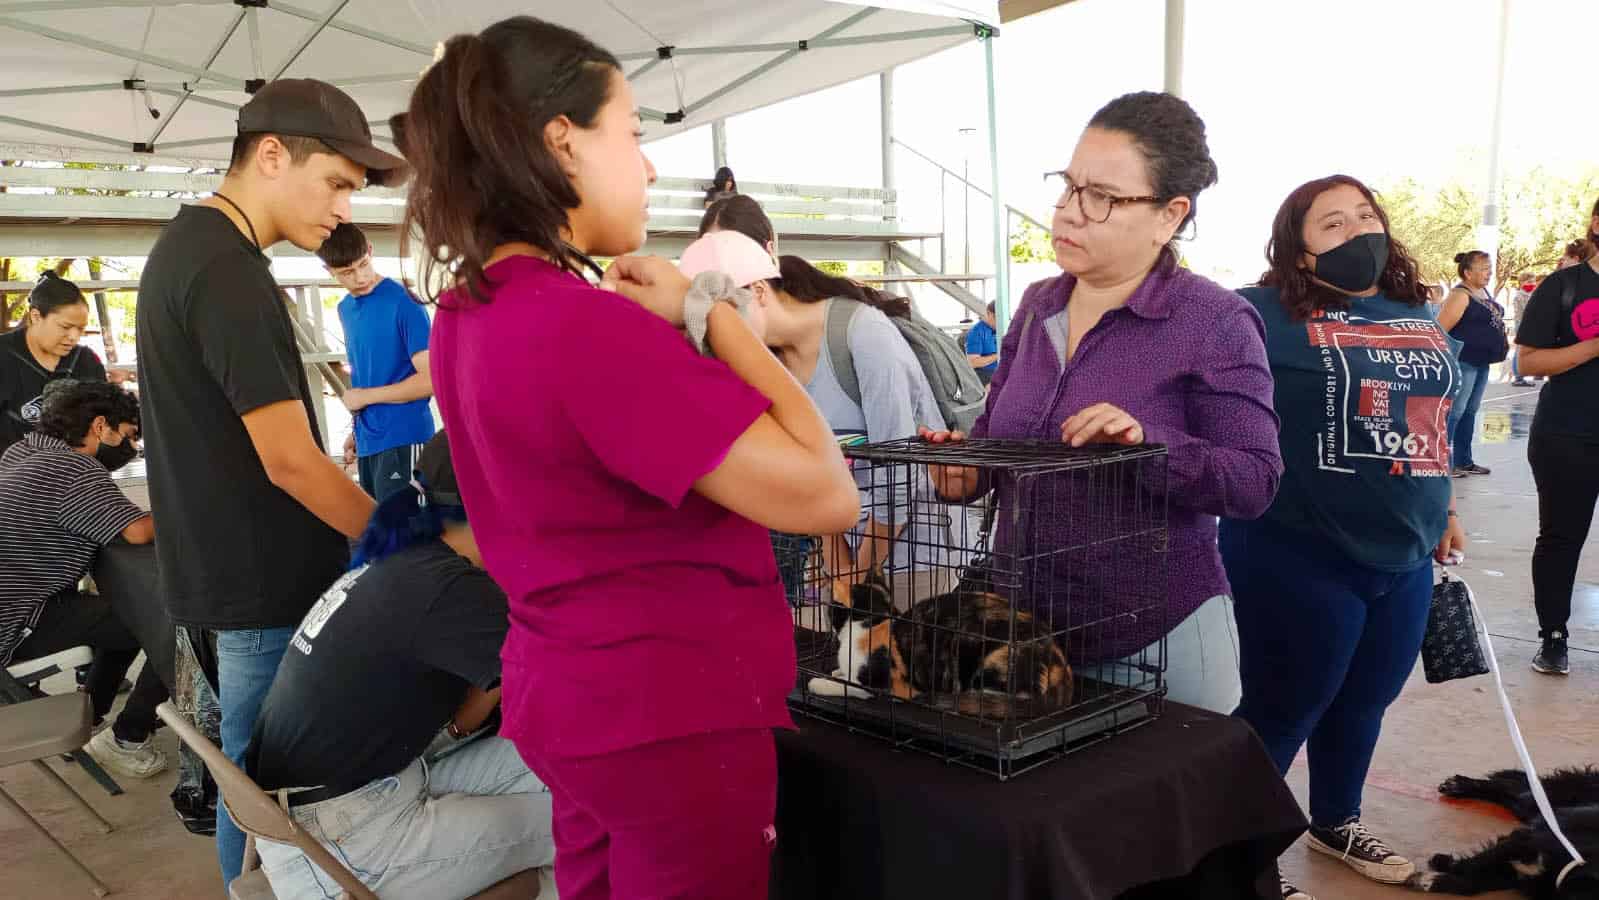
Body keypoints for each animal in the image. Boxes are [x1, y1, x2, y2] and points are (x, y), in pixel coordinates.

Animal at [812, 565, 1074, 722]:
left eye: (830, 608)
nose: (827, 611)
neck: (874, 621)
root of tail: (1061, 665)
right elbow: (842, 673)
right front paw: (837, 670)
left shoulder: (887, 684)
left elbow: (847, 685)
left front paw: (820, 683)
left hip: (983, 653)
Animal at [1413, 767, 1599, 900]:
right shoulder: (1524, 840)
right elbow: (1476, 863)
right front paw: (1440, 865)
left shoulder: (1518, 874)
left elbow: (1474, 883)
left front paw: (1433, 880)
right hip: (1537, 802)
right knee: (1511, 788)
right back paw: (1459, 785)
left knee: (1511, 793)